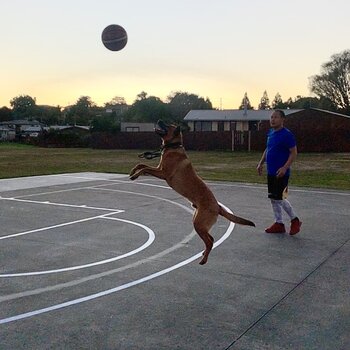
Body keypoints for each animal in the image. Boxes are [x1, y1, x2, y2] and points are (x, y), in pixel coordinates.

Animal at [129, 120, 254, 266]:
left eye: (167, 125)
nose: (159, 120)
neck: (173, 147)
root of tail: (217, 206)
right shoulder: (159, 169)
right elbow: (142, 165)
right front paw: (133, 171)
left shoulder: (163, 173)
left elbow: (144, 169)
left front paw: (135, 175)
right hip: (198, 222)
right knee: (211, 239)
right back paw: (204, 254)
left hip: (198, 224)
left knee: (210, 241)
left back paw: (204, 260)